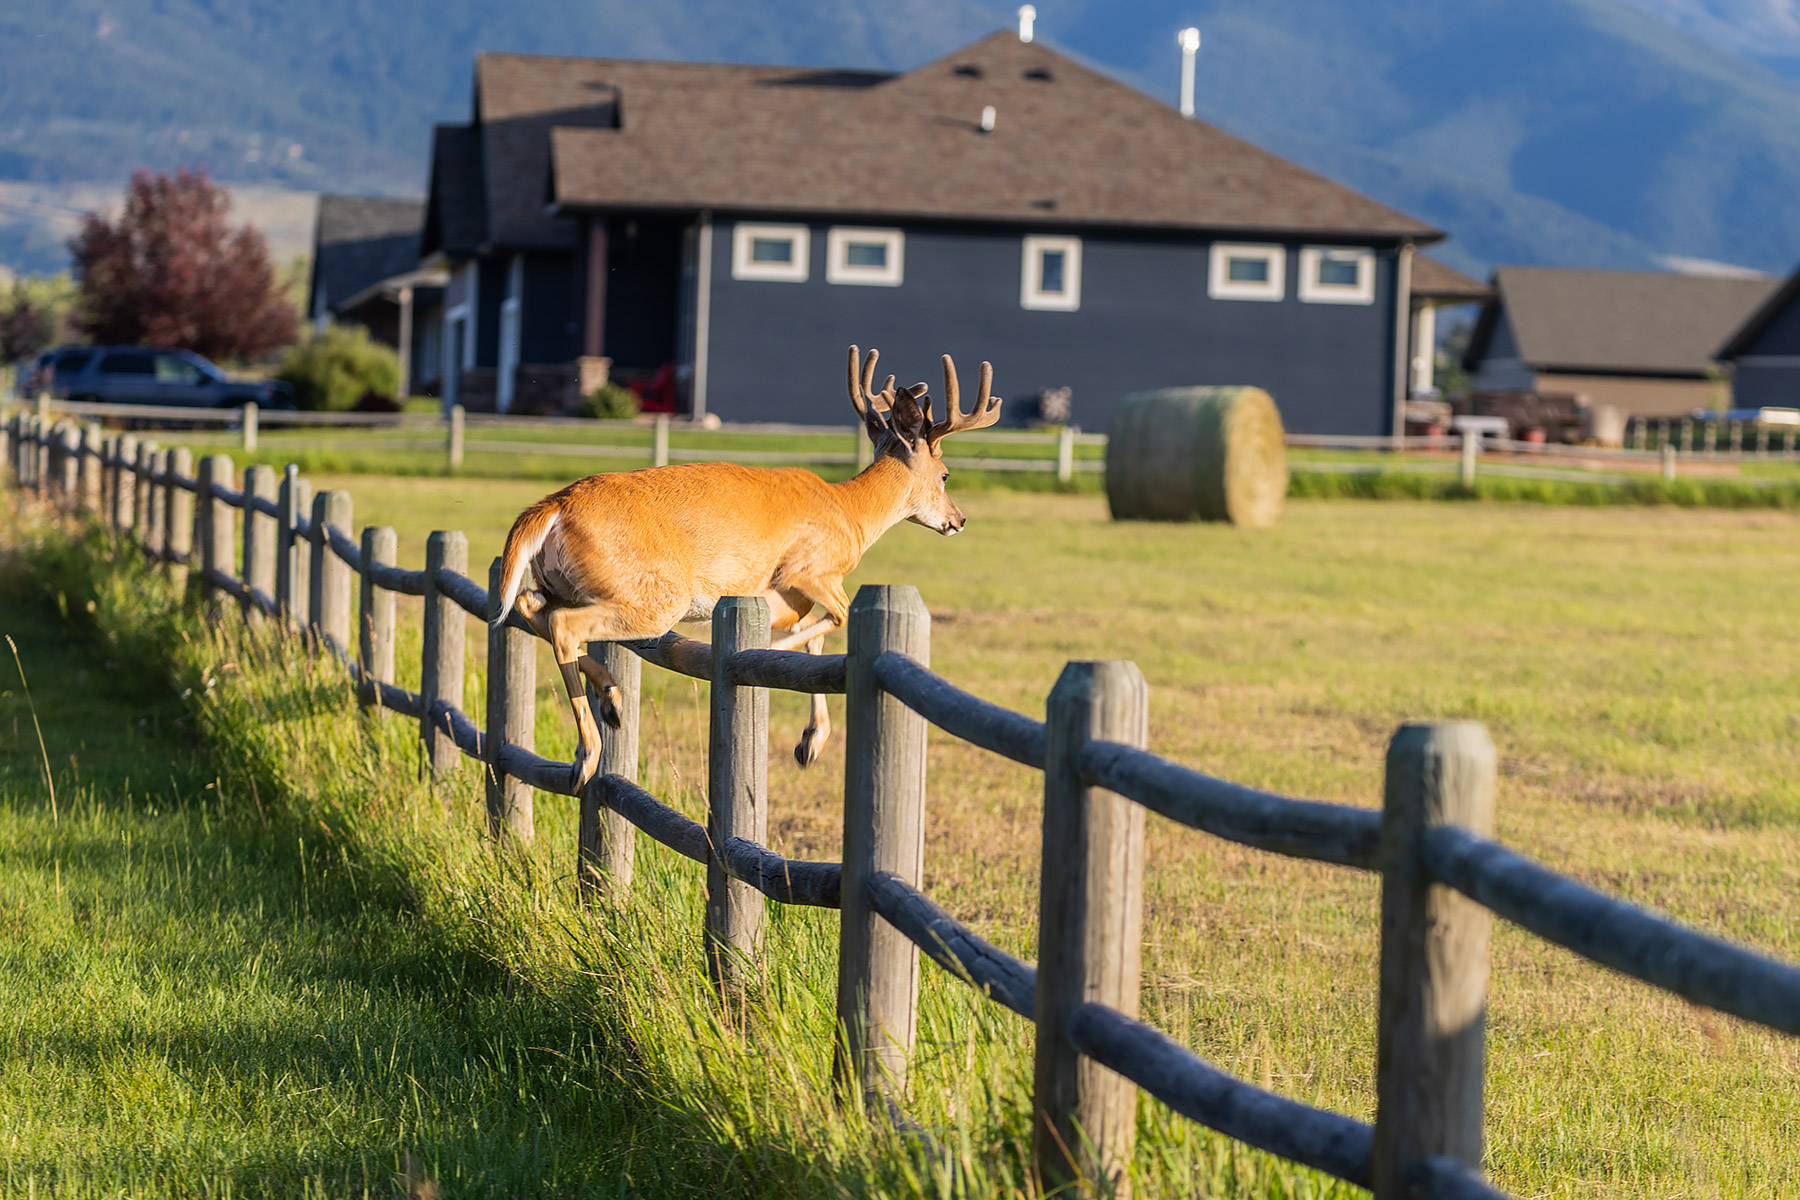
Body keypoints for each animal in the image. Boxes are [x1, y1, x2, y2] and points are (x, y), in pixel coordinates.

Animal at [491, 346, 1003, 790]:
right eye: (945, 475)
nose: (958, 520)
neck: (852, 515)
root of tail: (555, 505)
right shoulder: (806, 570)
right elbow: (833, 619)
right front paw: (779, 662)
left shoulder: (789, 600)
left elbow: (815, 636)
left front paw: (811, 743)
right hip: (655, 596)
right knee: (563, 625)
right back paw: (589, 753)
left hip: (569, 583)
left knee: (530, 605)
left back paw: (612, 700)